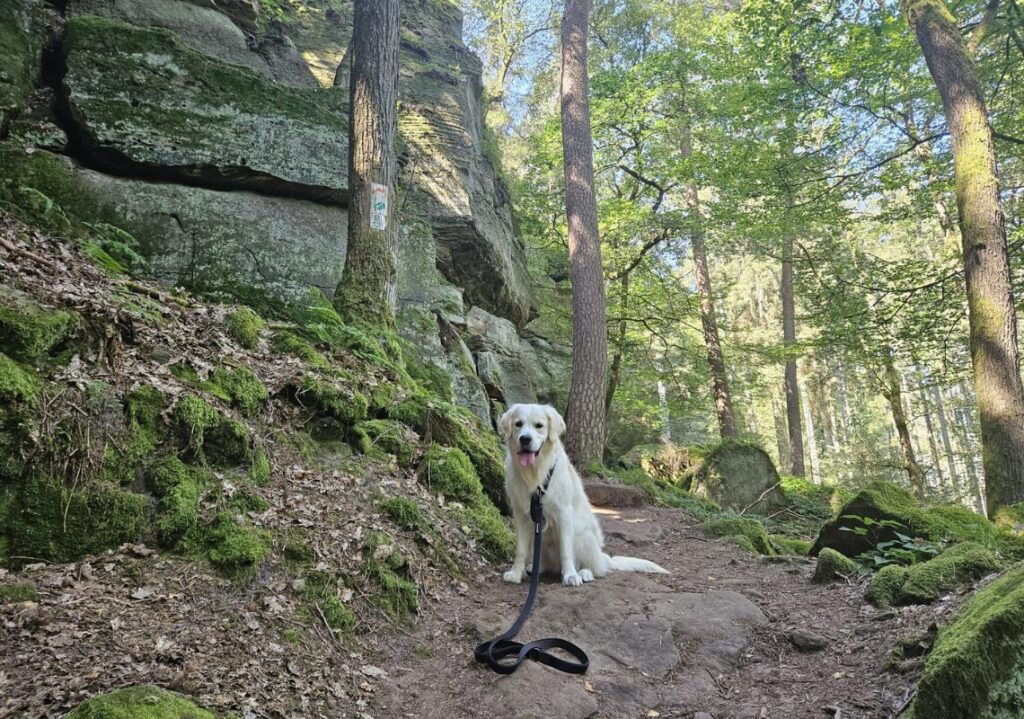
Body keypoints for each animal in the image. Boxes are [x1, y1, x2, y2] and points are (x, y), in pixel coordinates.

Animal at [497, 403, 671, 589]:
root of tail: (603, 558)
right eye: (518, 424)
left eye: (539, 425)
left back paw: (584, 573)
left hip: (584, 536)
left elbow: (566, 550)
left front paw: (570, 575)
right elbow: (521, 550)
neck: (536, 473)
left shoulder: (564, 513)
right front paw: (516, 573)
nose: (524, 439)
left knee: (594, 568)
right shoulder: (521, 515)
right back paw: (535, 568)